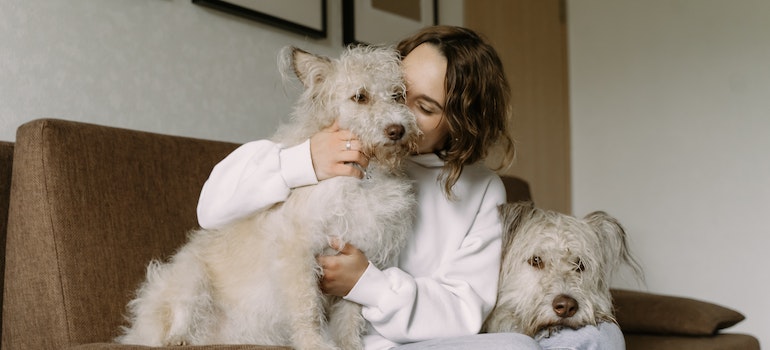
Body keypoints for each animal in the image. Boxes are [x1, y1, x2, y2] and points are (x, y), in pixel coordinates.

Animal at [115, 45, 420, 348]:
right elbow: (306, 308)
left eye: (397, 95)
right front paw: (313, 343)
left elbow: (349, 319)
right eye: (360, 96)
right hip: (189, 274)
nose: (398, 130)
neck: (364, 175)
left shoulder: (360, 259)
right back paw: (177, 338)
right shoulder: (296, 250)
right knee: (176, 316)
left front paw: (349, 345)